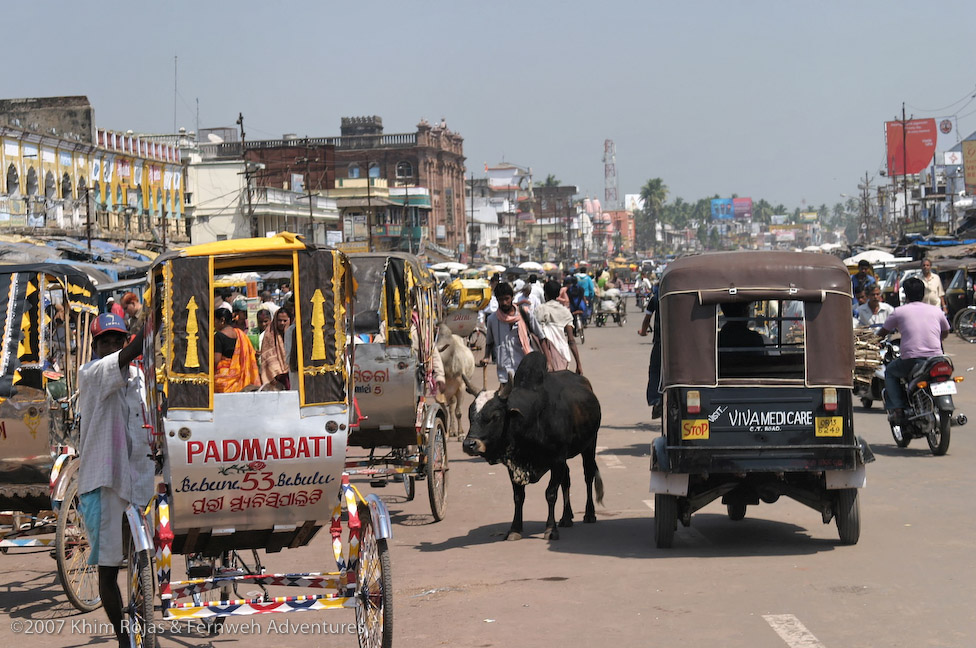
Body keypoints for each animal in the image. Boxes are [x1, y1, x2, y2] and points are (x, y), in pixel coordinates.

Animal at [464, 352, 604, 540]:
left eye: (495, 416)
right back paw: (566, 517)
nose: (469, 444)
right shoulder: (515, 465)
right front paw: (515, 529)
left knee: (588, 475)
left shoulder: (557, 459)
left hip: (589, 445)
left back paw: (589, 514)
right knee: (566, 480)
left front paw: (551, 529)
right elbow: (518, 496)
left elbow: (550, 494)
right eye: (470, 414)